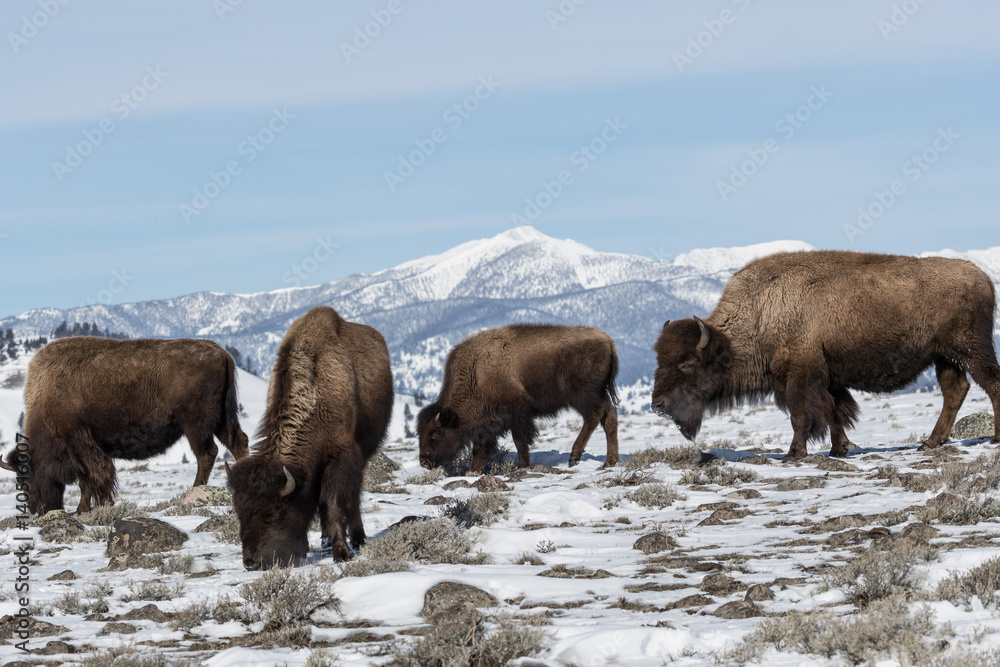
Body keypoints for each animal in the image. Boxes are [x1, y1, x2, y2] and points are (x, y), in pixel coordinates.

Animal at [1, 337, 249, 514]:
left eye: (26, 479)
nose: (37, 510)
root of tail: (223, 354)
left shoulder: (79, 442)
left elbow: (95, 476)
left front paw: (99, 505)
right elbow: (86, 480)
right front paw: (85, 509)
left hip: (196, 425)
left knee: (207, 453)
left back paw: (194, 490)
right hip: (221, 420)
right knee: (238, 443)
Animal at [227, 306, 393, 570]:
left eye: (276, 513)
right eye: (240, 512)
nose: (251, 563)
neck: (317, 395)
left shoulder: (341, 456)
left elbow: (333, 503)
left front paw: (342, 553)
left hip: (366, 451)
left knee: (354, 497)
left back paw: (357, 539)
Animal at [418, 324, 620, 472]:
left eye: (435, 433)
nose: (424, 462)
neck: (476, 373)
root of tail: (608, 340)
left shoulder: (517, 413)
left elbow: (519, 440)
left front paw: (522, 466)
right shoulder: (488, 423)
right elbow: (480, 447)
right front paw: (473, 471)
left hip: (582, 395)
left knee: (594, 415)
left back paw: (574, 457)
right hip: (598, 393)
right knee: (609, 417)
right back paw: (609, 462)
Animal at [651, 250, 1000, 459]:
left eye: (688, 364)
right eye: (659, 360)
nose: (657, 404)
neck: (761, 312)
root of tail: (983, 277)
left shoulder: (800, 375)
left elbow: (800, 415)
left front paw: (793, 454)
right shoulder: (828, 378)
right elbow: (835, 412)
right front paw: (838, 449)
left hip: (970, 350)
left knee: (991, 384)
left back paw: (993, 438)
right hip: (945, 357)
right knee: (955, 390)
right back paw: (930, 442)